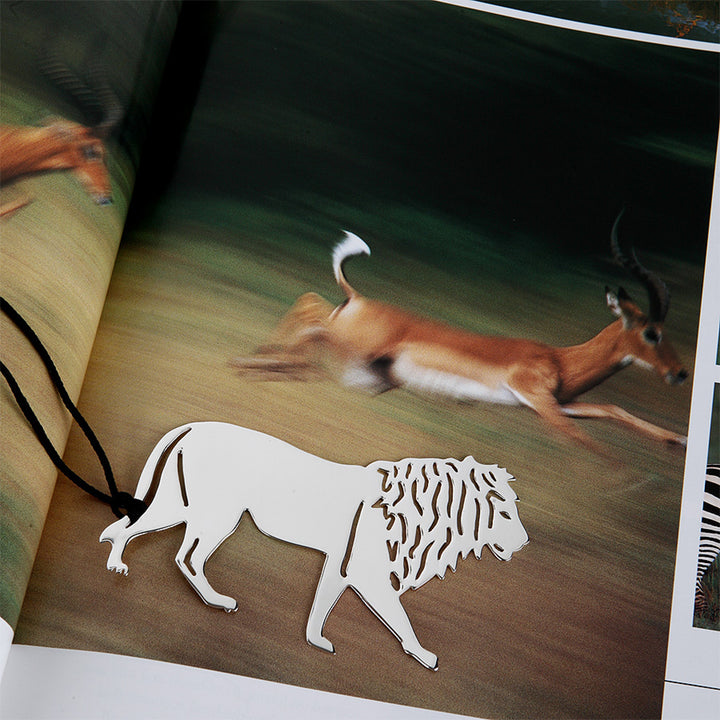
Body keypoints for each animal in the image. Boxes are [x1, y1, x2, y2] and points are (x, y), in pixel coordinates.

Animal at [100, 422, 528, 669]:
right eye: (506, 512)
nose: (525, 543)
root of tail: (191, 427)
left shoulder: (341, 565)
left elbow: (322, 602)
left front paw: (316, 641)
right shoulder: (368, 574)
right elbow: (401, 618)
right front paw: (424, 656)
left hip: (184, 506)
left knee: (130, 527)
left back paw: (119, 563)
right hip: (218, 514)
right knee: (183, 556)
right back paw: (216, 600)